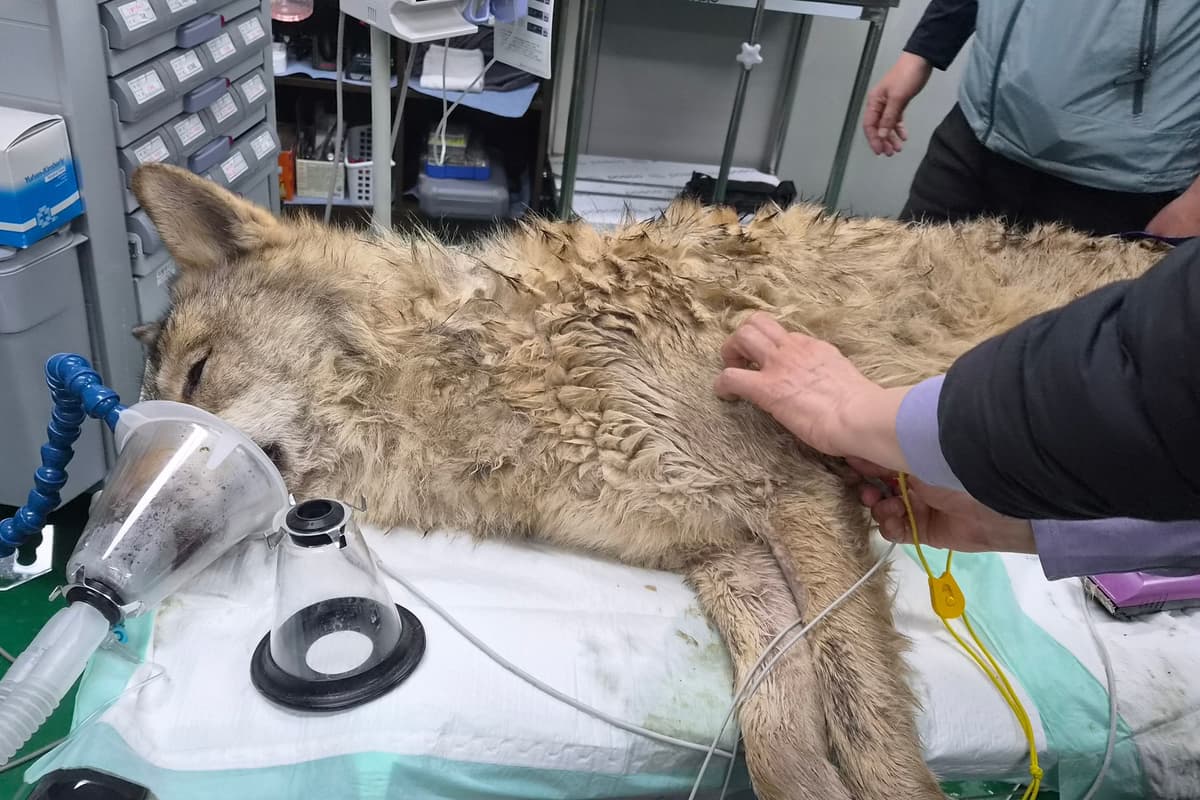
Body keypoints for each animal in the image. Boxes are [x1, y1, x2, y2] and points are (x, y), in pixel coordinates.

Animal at [129, 163, 1163, 800]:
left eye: (198, 377)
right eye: (149, 415)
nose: (118, 545)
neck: (485, 368)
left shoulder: (799, 498)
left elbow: (867, 728)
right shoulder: (727, 555)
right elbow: (780, 737)